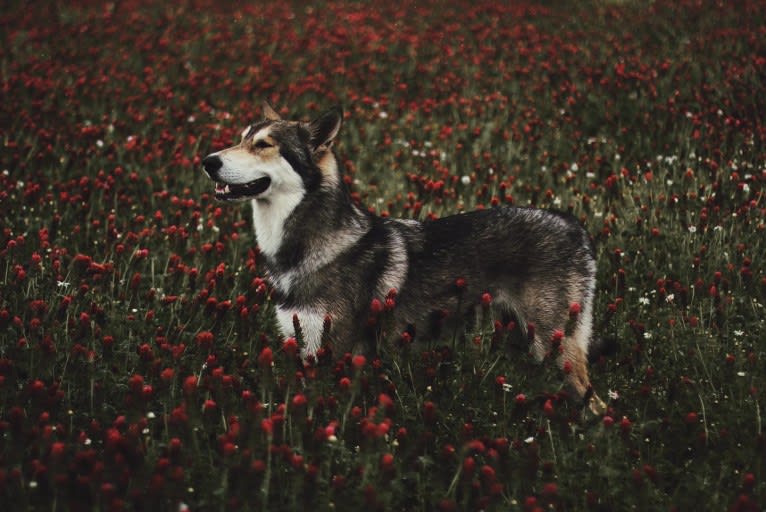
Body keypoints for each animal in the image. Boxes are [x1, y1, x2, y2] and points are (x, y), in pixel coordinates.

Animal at [201, 104, 608, 416]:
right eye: (241, 137)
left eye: (263, 145)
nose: (207, 161)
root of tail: (575, 224)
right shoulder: (304, 347)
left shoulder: (337, 354)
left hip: (555, 348)